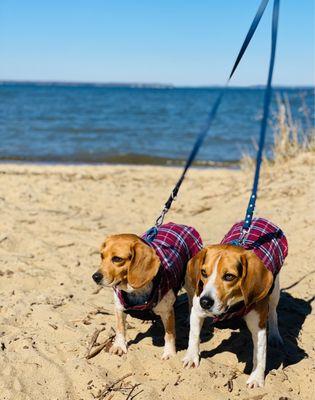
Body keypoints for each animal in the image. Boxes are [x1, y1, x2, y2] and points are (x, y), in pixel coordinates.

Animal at [92, 222, 204, 360]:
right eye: (101, 256)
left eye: (117, 259)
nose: (95, 277)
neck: (136, 290)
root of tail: (181, 225)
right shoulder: (119, 308)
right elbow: (120, 329)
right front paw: (119, 346)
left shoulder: (167, 312)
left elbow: (169, 335)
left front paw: (169, 353)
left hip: (190, 283)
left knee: (191, 302)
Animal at [183, 217, 288, 390]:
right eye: (204, 273)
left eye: (229, 276)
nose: (205, 302)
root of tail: (260, 218)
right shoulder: (197, 310)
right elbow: (194, 335)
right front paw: (191, 357)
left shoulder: (259, 326)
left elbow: (260, 355)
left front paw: (256, 378)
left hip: (275, 291)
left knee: (273, 313)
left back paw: (275, 336)